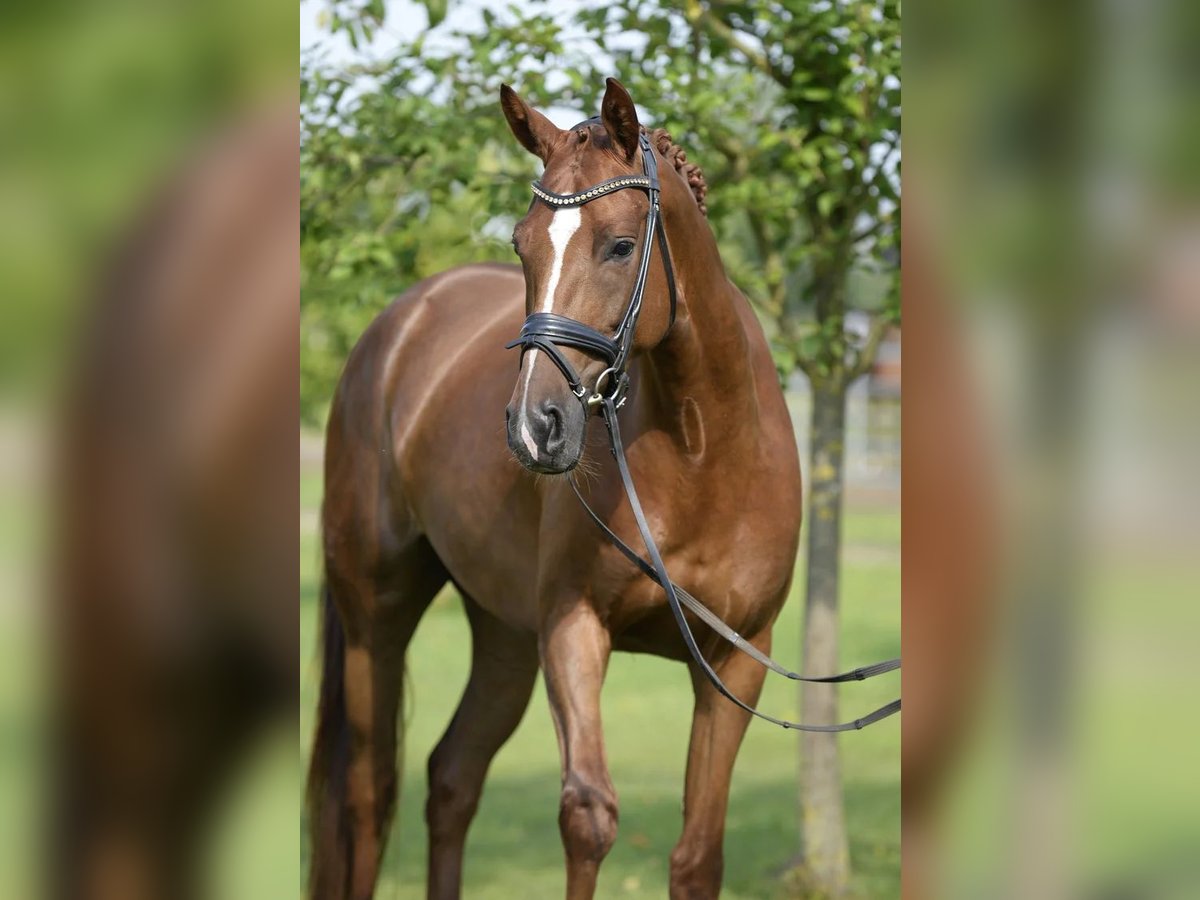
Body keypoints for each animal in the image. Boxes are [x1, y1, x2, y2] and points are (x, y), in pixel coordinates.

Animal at [306, 78, 804, 900]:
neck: (704, 452)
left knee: (452, 777)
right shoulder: (575, 628)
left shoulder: (738, 661)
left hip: (504, 634)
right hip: (378, 612)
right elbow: (588, 817)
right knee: (367, 795)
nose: (534, 425)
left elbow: (698, 856)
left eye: (621, 245)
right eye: (522, 243)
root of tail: (400, 323)